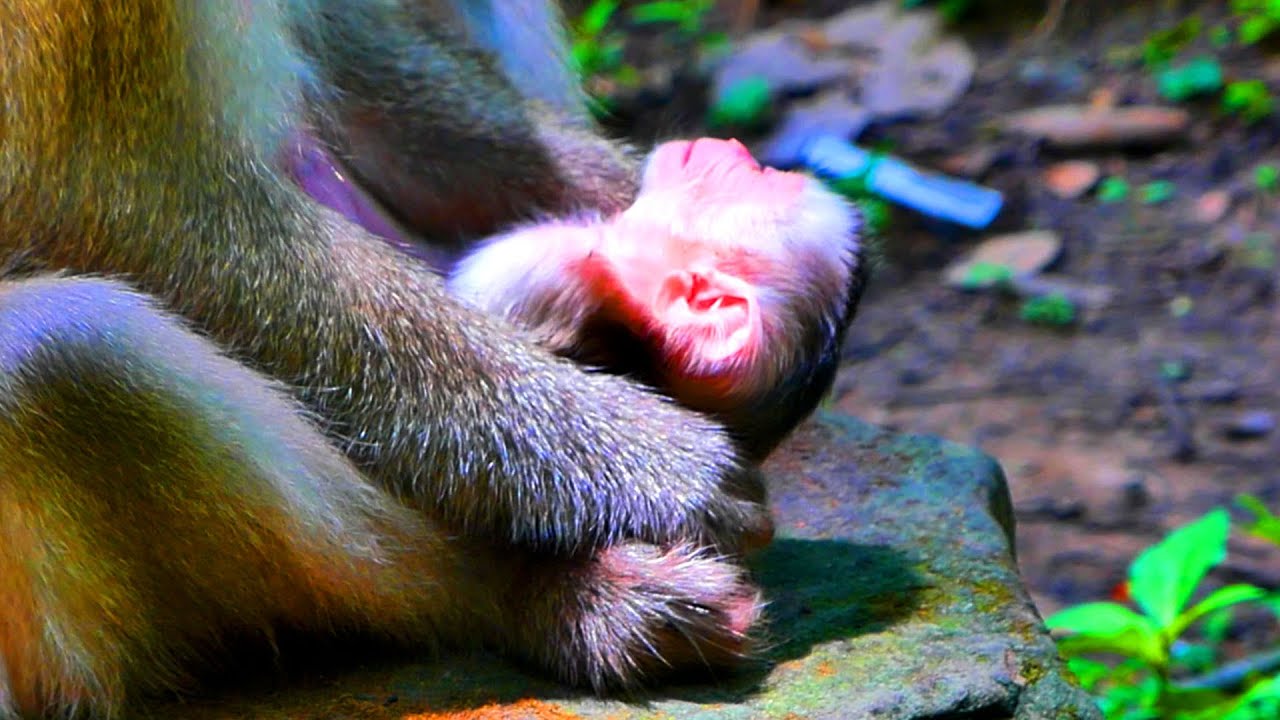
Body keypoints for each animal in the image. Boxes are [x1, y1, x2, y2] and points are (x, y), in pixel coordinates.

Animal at [0, 2, 866, 717]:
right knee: (54, 347)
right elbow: (106, 194)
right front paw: (657, 468)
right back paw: (539, 594)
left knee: (54, 354)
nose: (730, 154)